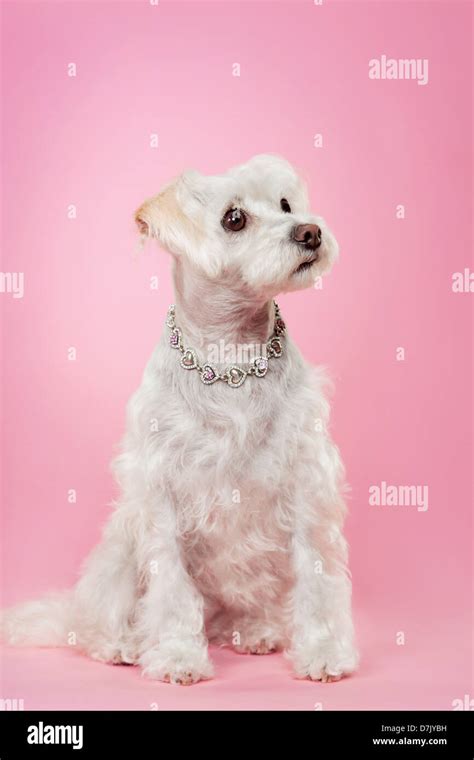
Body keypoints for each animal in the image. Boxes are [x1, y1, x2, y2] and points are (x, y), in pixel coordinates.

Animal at [0, 154, 360, 684]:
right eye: (234, 218)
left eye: (285, 204)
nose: (310, 232)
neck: (231, 359)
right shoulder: (161, 497)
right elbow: (170, 587)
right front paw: (175, 655)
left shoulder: (307, 485)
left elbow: (317, 577)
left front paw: (324, 651)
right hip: (119, 555)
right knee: (95, 622)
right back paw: (123, 644)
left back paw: (255, 630)